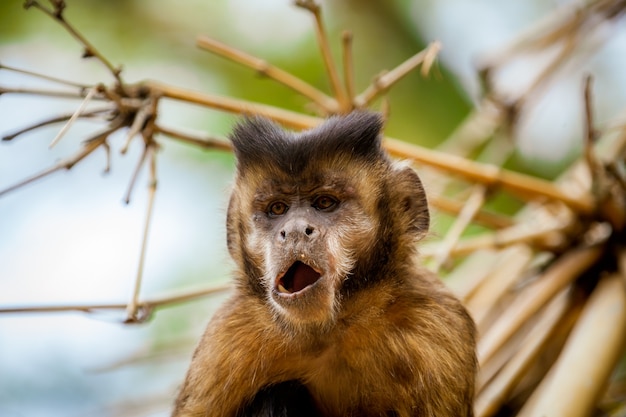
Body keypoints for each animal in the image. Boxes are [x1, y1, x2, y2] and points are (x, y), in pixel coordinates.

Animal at [171, 110, 472, 416]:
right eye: (277, 208)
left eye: (325, 202)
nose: (293, 230)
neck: (331, 330)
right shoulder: (225, 339)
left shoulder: (438, 325)